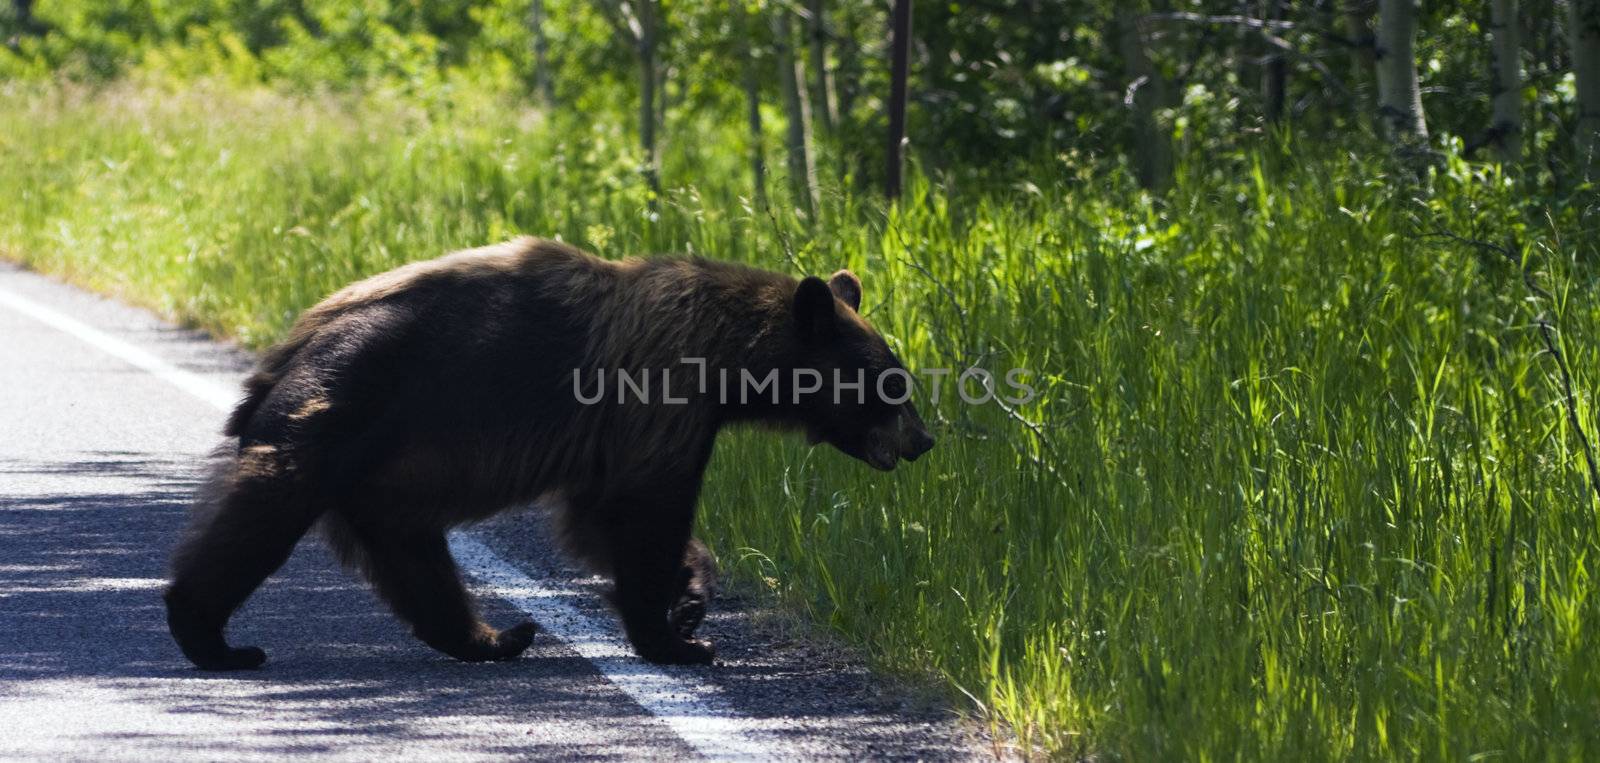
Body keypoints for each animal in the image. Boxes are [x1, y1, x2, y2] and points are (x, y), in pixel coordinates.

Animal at [159, 236, 934, 665]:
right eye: (891, 382)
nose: (923, 439)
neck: (729, 358)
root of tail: (286, 349)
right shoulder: (659, 397)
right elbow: (642, 513)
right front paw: (679, 639)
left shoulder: (624, 431)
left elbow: (602, 515)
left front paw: (691, 601)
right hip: (339, 409)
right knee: (263, 510)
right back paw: (212, 637)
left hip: (381, 473)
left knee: (415, 561)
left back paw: (496, 636)